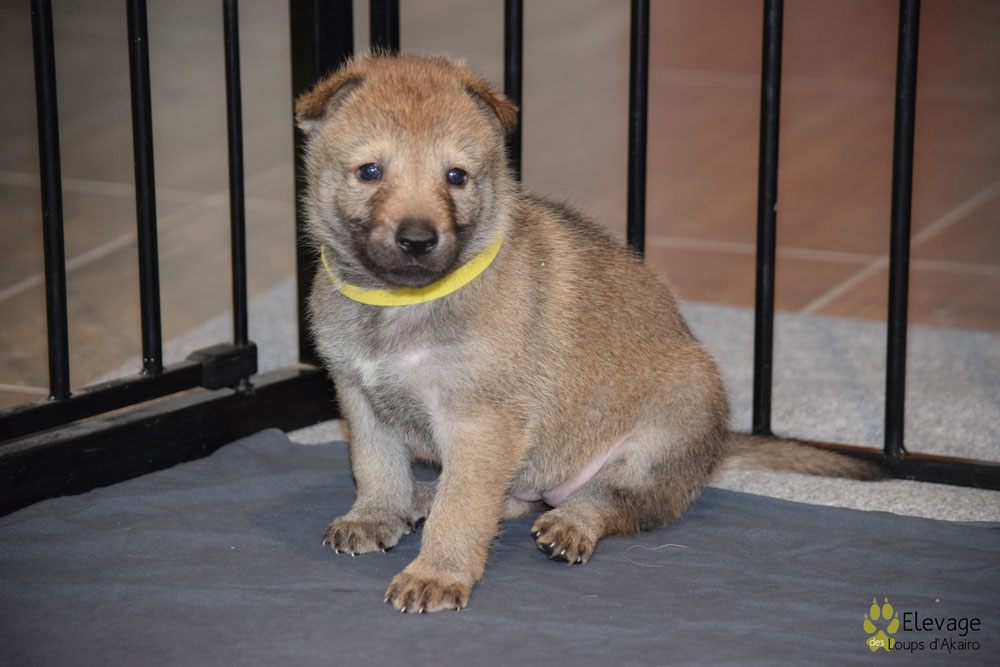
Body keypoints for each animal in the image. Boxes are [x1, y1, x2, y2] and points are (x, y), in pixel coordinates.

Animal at [295, 55, 879, 613]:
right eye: (370, 171)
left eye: (456, 176)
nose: (417, 240)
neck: (402, 305)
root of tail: (717, 447)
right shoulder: (360, 398)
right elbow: (377, 467)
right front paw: (376, 516)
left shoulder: (481, 423)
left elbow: (463, 510)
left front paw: (437, 572)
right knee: (511, 496)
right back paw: (422, 498)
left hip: (667, 428)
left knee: (616, 500)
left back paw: (572, 521)